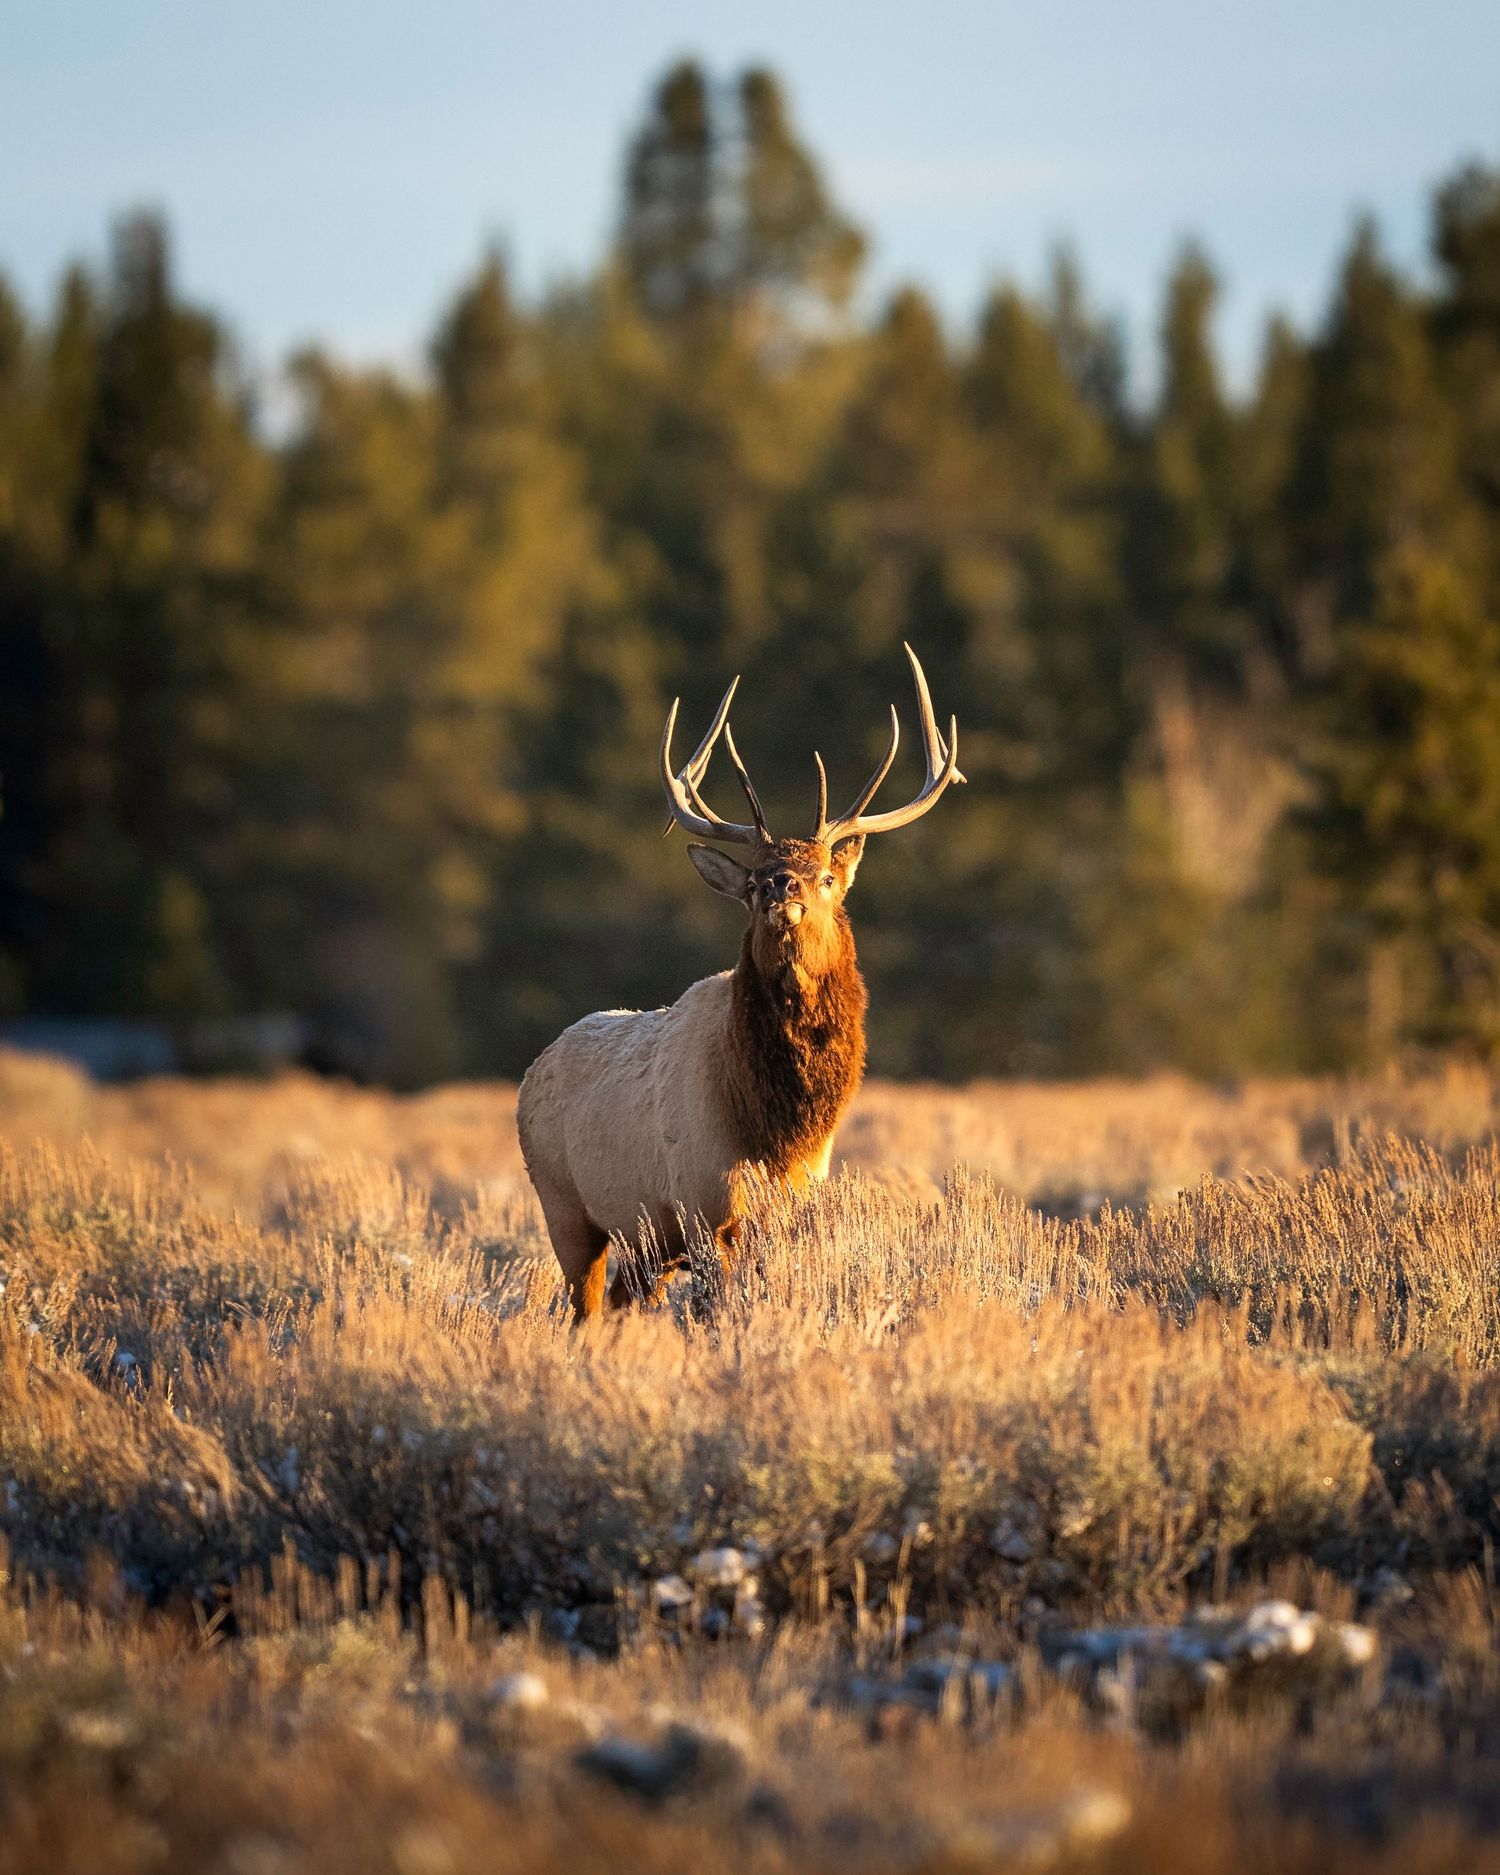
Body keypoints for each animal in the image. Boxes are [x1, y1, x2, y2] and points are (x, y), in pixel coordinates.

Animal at [516, 645, 963, 1321]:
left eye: (826, 877)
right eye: (751, 883)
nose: (780, 885)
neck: (777, 1131)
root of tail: (530, 1072)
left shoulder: (787, 1207)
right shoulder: (701, 1207)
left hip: (643, 1244)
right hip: (565, 1206)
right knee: (584, 1308)